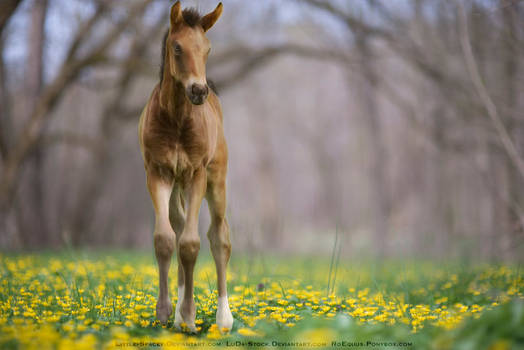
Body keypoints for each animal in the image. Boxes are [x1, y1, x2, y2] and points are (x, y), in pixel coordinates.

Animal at [138, 1, 232, 332]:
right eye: (177, 47)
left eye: (207, 48)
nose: (199, 91)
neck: (178, 119)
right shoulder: (157, 173)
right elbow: (165, 239)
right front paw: (166, 311)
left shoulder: (197, 174)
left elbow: (191, 244)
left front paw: (190, 316)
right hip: (176, 185)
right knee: (177, 227)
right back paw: (178, 312)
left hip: (216, 180)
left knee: (219, 237)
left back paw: (224, 318)